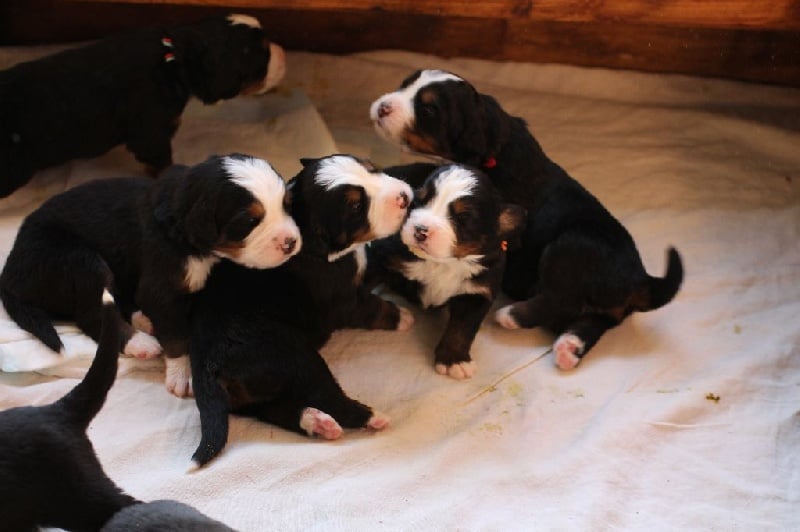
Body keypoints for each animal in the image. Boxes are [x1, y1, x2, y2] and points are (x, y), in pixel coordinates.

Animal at [0, 153, 300, 394]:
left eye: (287, 204)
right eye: (250, 221)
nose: (291, 242)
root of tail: (10, 271)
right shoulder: (161, 286)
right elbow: (176, 337)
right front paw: (182, 375)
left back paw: (142, 320)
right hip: (78, 259)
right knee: (90, 313)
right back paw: (139, 342)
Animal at [188, 153, 412, 466]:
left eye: (371, 168)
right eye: (356, 207)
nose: (404, 197)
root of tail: (208, 366)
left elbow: (373, 265)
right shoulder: (344, 299)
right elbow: (373, 307)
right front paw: (403, 317)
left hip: (249, 392)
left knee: (272, 409)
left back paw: (316, 423)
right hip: (295, 355)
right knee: (326, 393)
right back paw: (370, 417)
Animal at [368, 164, 524, 380]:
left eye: (462, 217)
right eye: (420, 201)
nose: (420, 230)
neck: (443, 263)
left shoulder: (477, 291)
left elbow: (462, 328)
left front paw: (454, 360)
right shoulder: (384, 255)